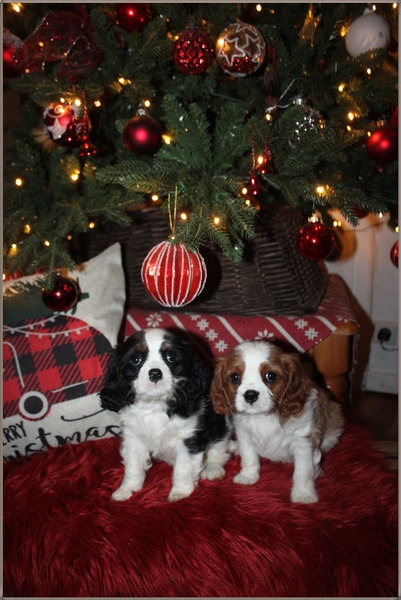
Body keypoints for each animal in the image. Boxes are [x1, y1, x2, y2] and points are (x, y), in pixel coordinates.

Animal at [99, 328, 232, 502]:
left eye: (171, 357)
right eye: (136, 359)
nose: (155, 373)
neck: (155, 404)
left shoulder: (187, 438)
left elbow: (184, 468)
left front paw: (180, 492)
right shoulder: (134, 438)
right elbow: (133, 465)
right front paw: (127, 489)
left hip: (220, 425)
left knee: (218, 449)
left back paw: (212, 469)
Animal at [210, 339, 344, 504]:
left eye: (270, 376)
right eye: (234, 377)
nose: (250, 395)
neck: (264, 416)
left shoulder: (303, 441)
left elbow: (303, 470)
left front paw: (303, 494)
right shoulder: (245, 434)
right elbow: (249, 456)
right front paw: (248, 476)